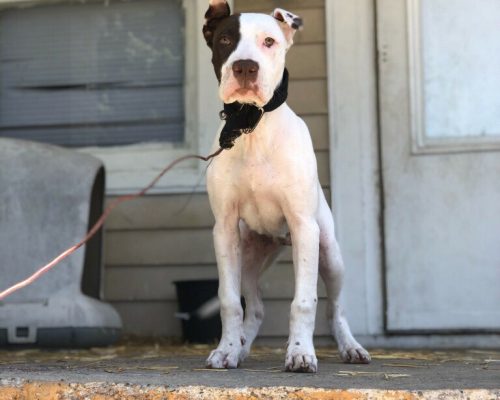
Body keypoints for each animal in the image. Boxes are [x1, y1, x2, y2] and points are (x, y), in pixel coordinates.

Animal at [201, 0, 370, 372]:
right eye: (225, 40)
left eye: (269, 41)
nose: (245, 67)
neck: (251, 128)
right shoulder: (224, 229)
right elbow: (229, 301)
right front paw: (226, 350)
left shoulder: (304, 226)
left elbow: (304, 301)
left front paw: (300, 353)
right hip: (248, 258)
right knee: (255, 307)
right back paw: (241, 348)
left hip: (329, 254)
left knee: (336, 308)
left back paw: (351, 347)